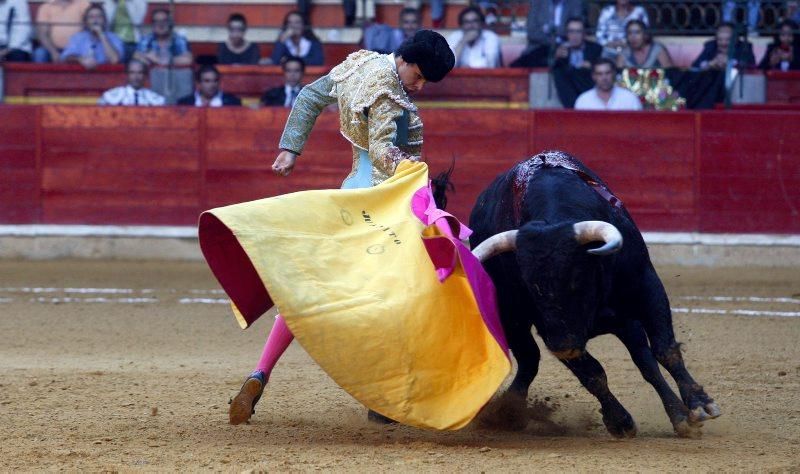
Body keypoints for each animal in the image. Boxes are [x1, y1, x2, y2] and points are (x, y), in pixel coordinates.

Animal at [466, 151, 720, 436]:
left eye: (576, 277)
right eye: (530, 286)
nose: (562, 347)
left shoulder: (647, 287)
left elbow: (665, 349)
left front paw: (699, 405)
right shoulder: (553, 328)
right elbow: (593, 374)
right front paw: (620, 421)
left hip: (625, 319)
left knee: (645, 361)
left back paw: (679, 414)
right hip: (516, 322)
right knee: (531, 360)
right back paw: (510, 411)